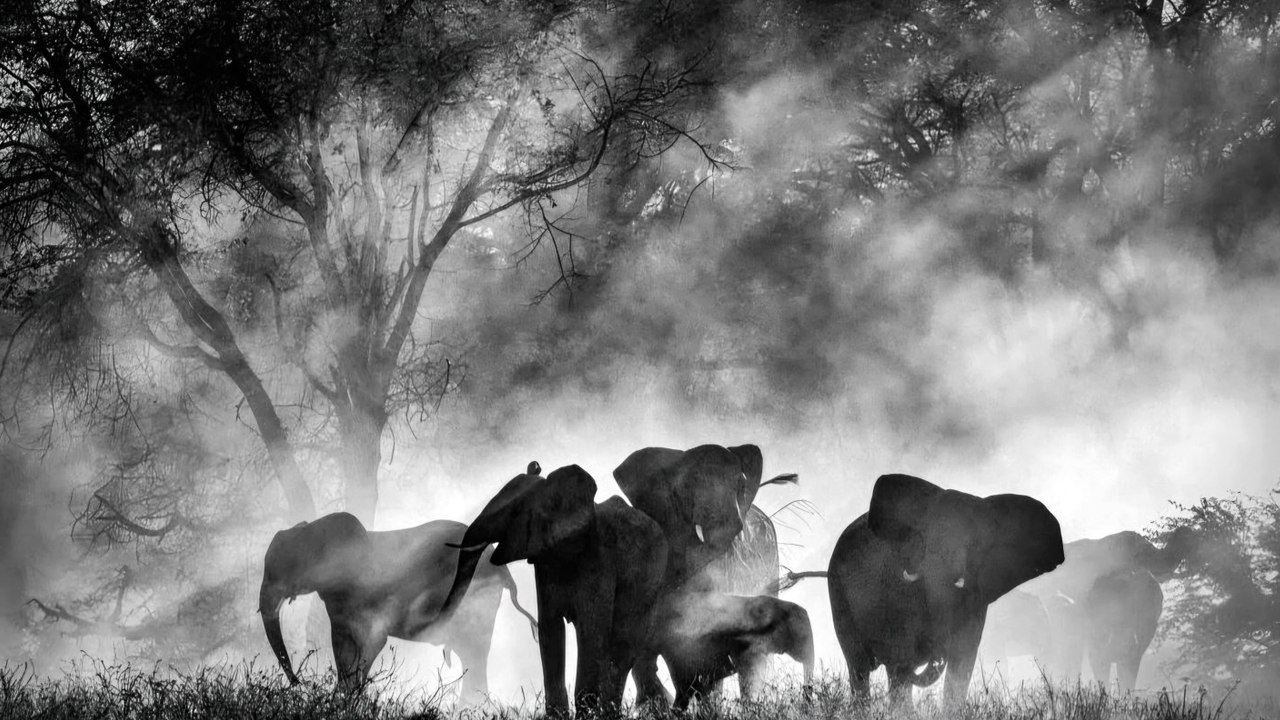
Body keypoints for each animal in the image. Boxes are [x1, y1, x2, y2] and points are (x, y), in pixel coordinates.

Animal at [258, 512, 537, 695]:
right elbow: (343, 647)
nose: (299, 684)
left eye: (286, 568)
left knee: (474, 652)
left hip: (477, 599)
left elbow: (371, 642)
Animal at [439, 463, 668, 716]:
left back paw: (610, 712)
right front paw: (558, 715)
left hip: (650, 583)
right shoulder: (544, 562)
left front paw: (586, 714)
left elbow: (591, 630)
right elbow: (550, 629)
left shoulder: (600, 560)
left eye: (514, 513)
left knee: (623, 646)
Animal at [828, 473, 1064, 706]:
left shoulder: (976, 597)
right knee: (860, 667)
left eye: (975, 544)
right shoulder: (895, 589)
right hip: (838, 594)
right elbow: (901, 657)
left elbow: (962, 660)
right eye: (925, 538)